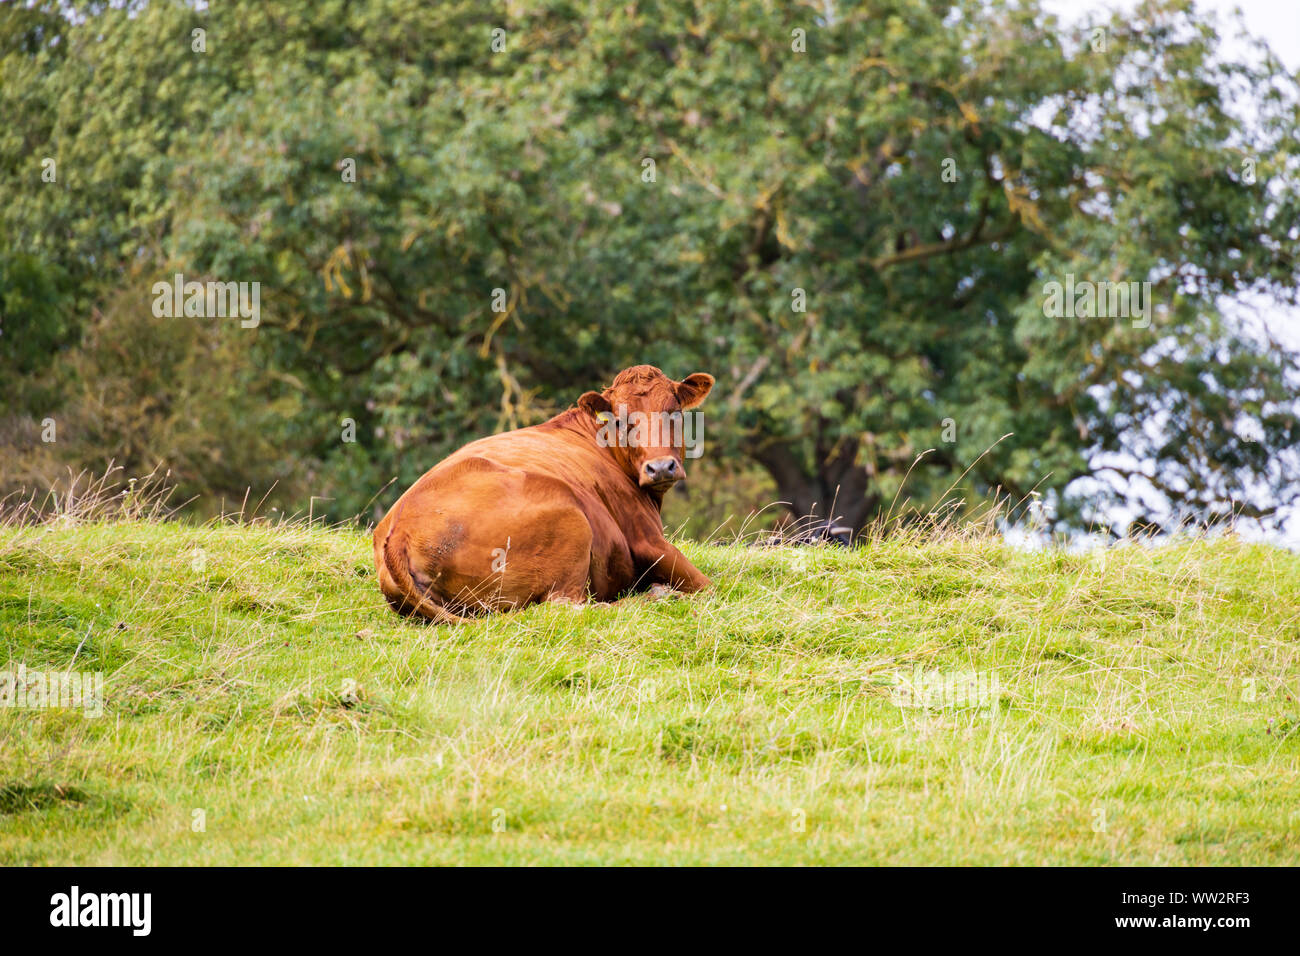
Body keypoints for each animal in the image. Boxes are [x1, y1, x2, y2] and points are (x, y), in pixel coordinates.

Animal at [371, 364, 717, 621]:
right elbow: (710, 588)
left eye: (674, 411)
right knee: (567, 605)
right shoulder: (648, 540)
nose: (660, 468)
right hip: (570, 521)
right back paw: (658, 595)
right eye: (620, 421)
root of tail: (398, 529)